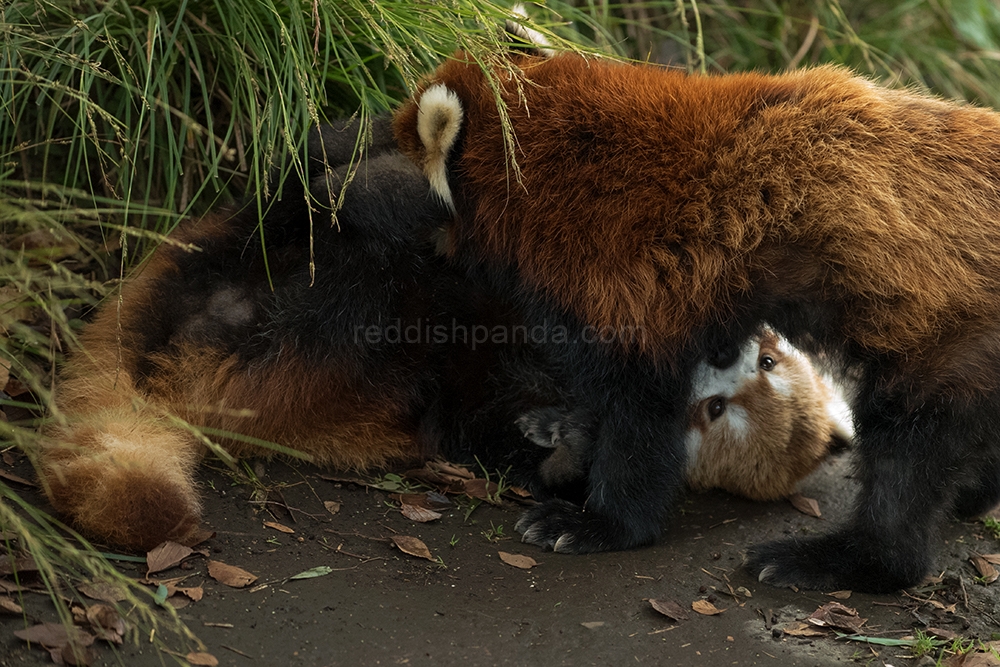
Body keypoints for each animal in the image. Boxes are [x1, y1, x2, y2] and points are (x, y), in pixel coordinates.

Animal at [392, 53, 1000, 596]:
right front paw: (563, 428)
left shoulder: (623, 273)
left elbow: (640, 411)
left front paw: (604, 524)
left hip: (952, 339)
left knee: (907, 453)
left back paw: (849, 560)